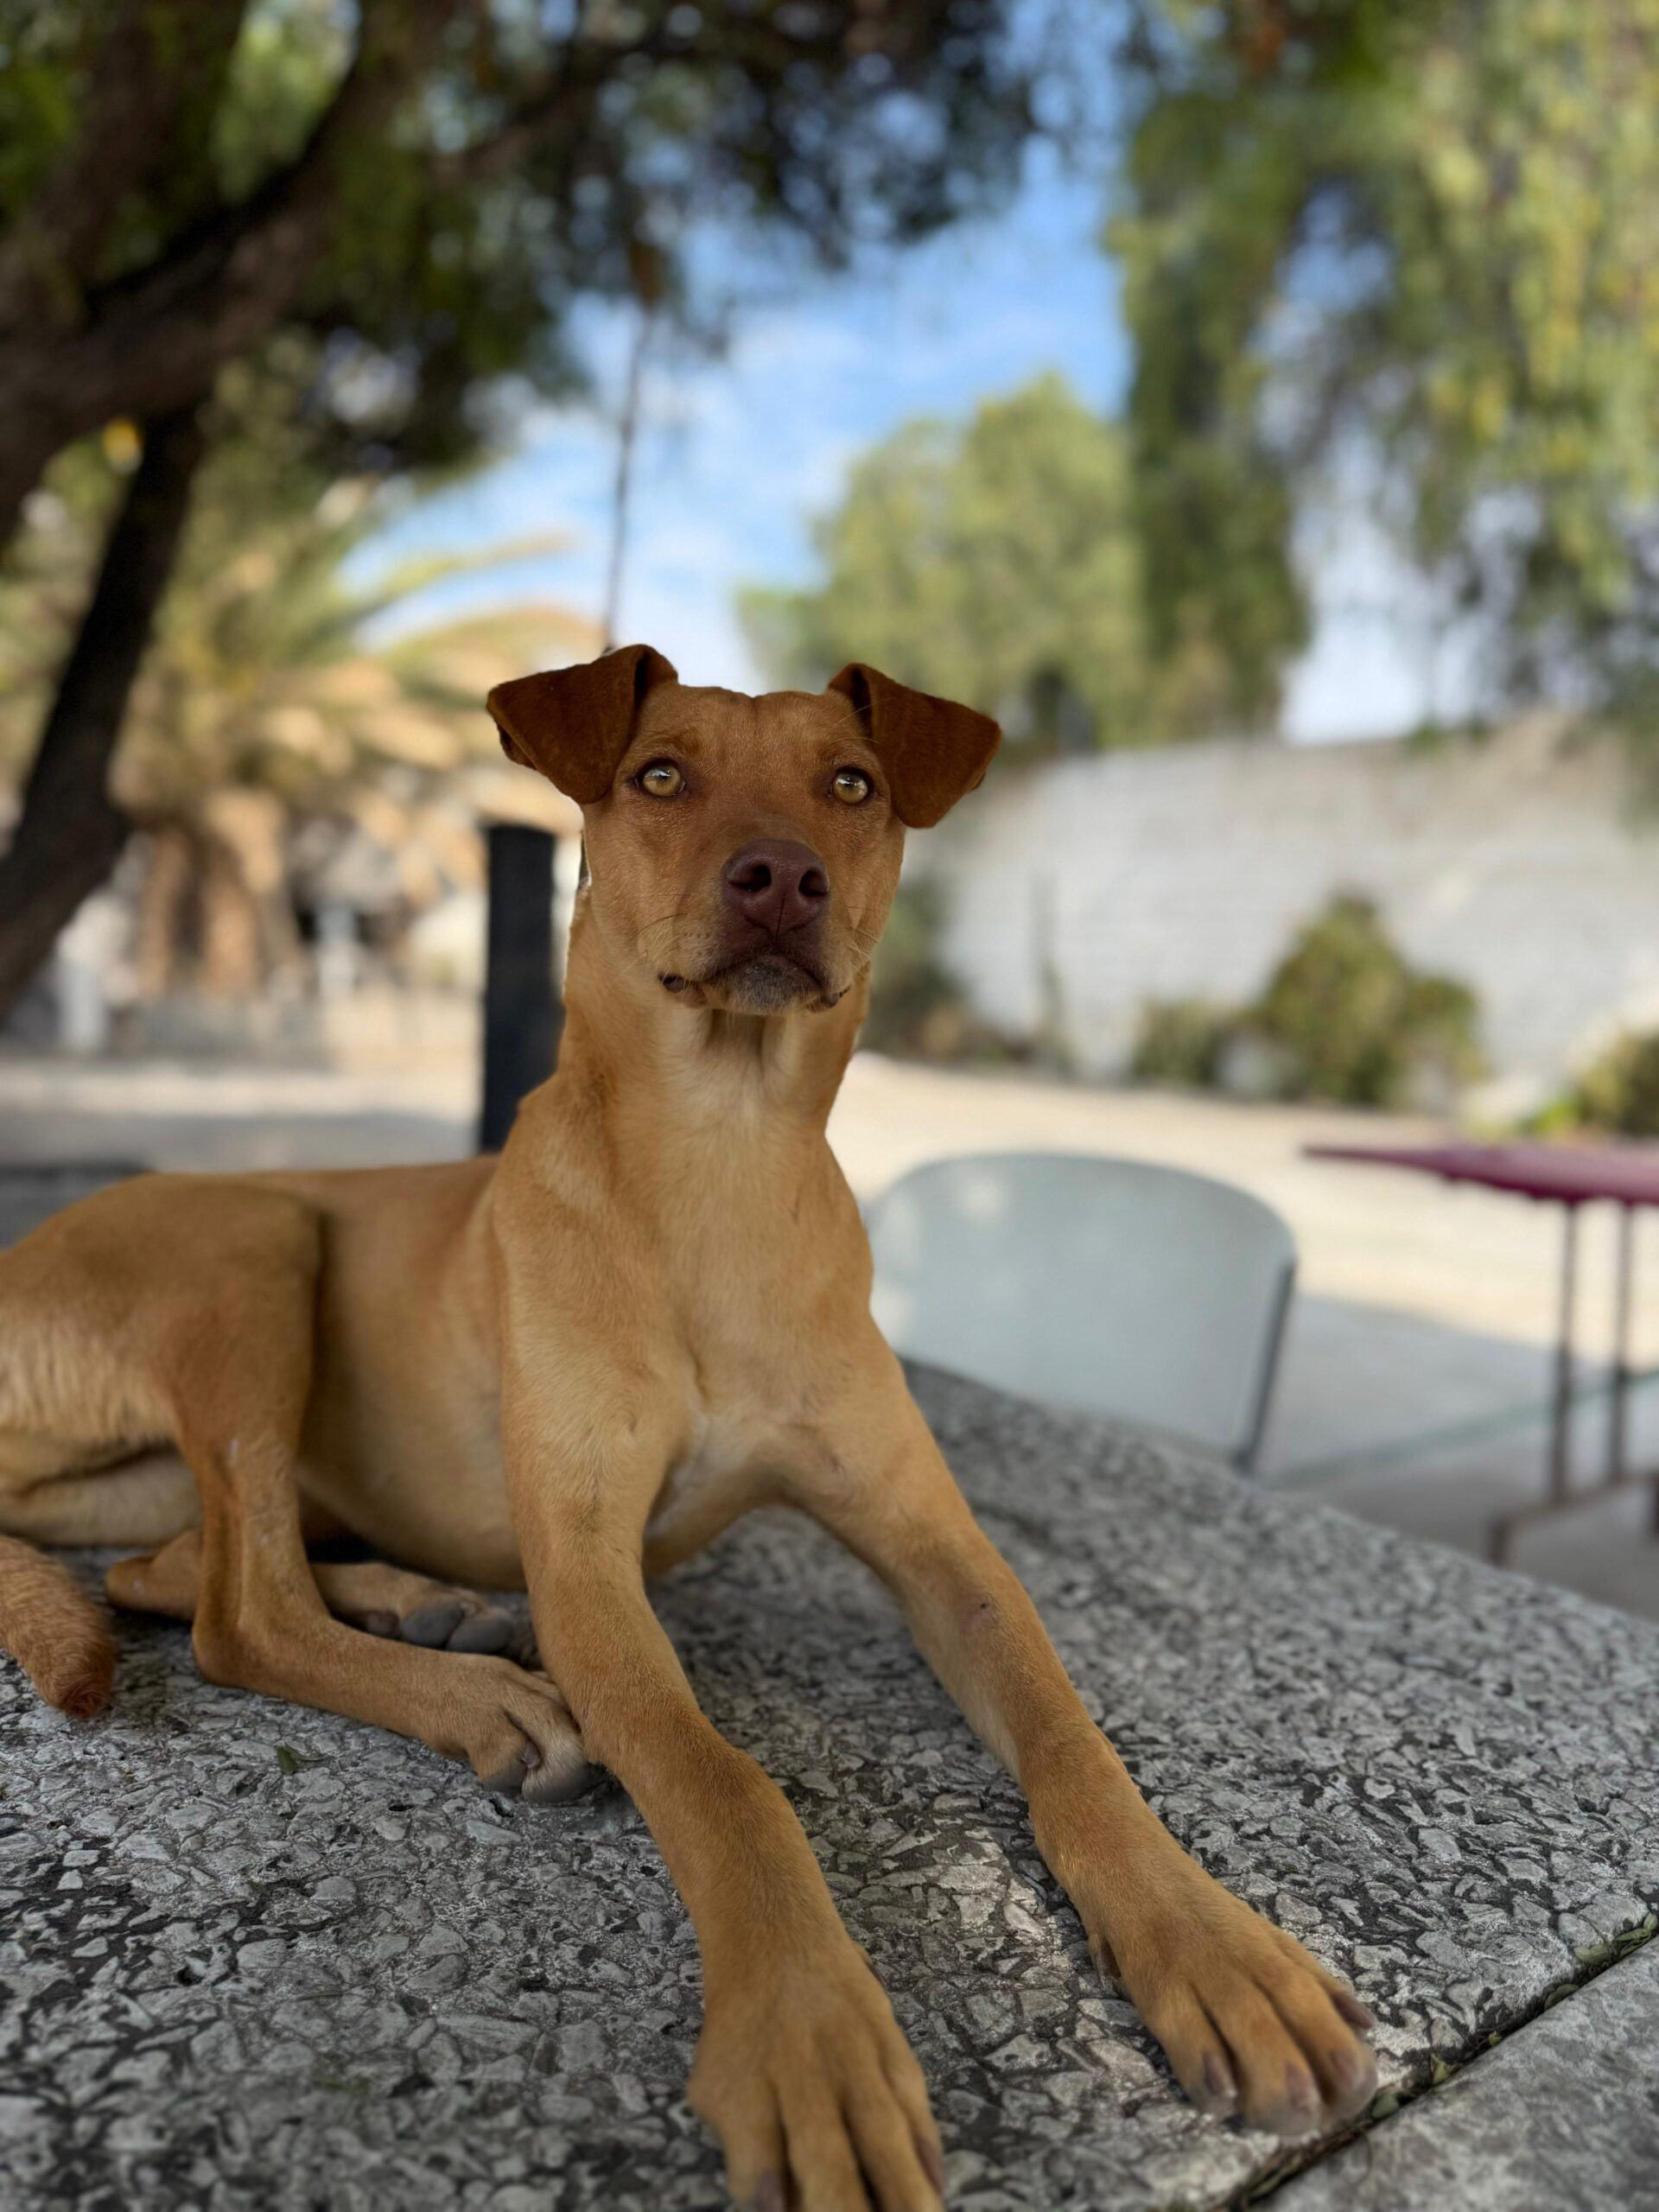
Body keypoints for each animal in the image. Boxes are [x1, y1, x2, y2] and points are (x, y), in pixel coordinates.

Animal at [0, 647, 1376, 2208]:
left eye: (853, 785)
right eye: (659, 775)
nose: (780, 875)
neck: (720, 1161)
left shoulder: (938, 1545)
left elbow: (1070, 1736)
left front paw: (1207, 1940)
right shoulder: (589, 1568)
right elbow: (727, 1785)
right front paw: (811, 2032)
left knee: (173, 1569)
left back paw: (423, 1604)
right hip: (255, 1241)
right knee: (242, 1608)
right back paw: (481, 1694)